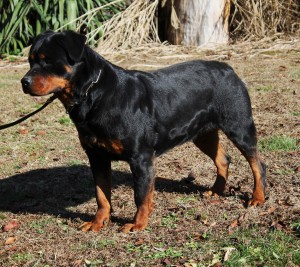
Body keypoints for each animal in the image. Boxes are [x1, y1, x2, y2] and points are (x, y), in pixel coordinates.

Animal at [21, 30, 268, 233]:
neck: (93, 95)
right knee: (223, 159)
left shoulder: (140, 158)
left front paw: (137, 224)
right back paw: (216, 190)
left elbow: (140, 195)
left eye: (47, 61)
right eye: (30, 61)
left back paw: (258, 197)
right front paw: (98, 222)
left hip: (238, 126)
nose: (24, 81)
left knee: (257, 162)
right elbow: (101, 195)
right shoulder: (97, 156)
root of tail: (228, 68)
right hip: (202, 133)